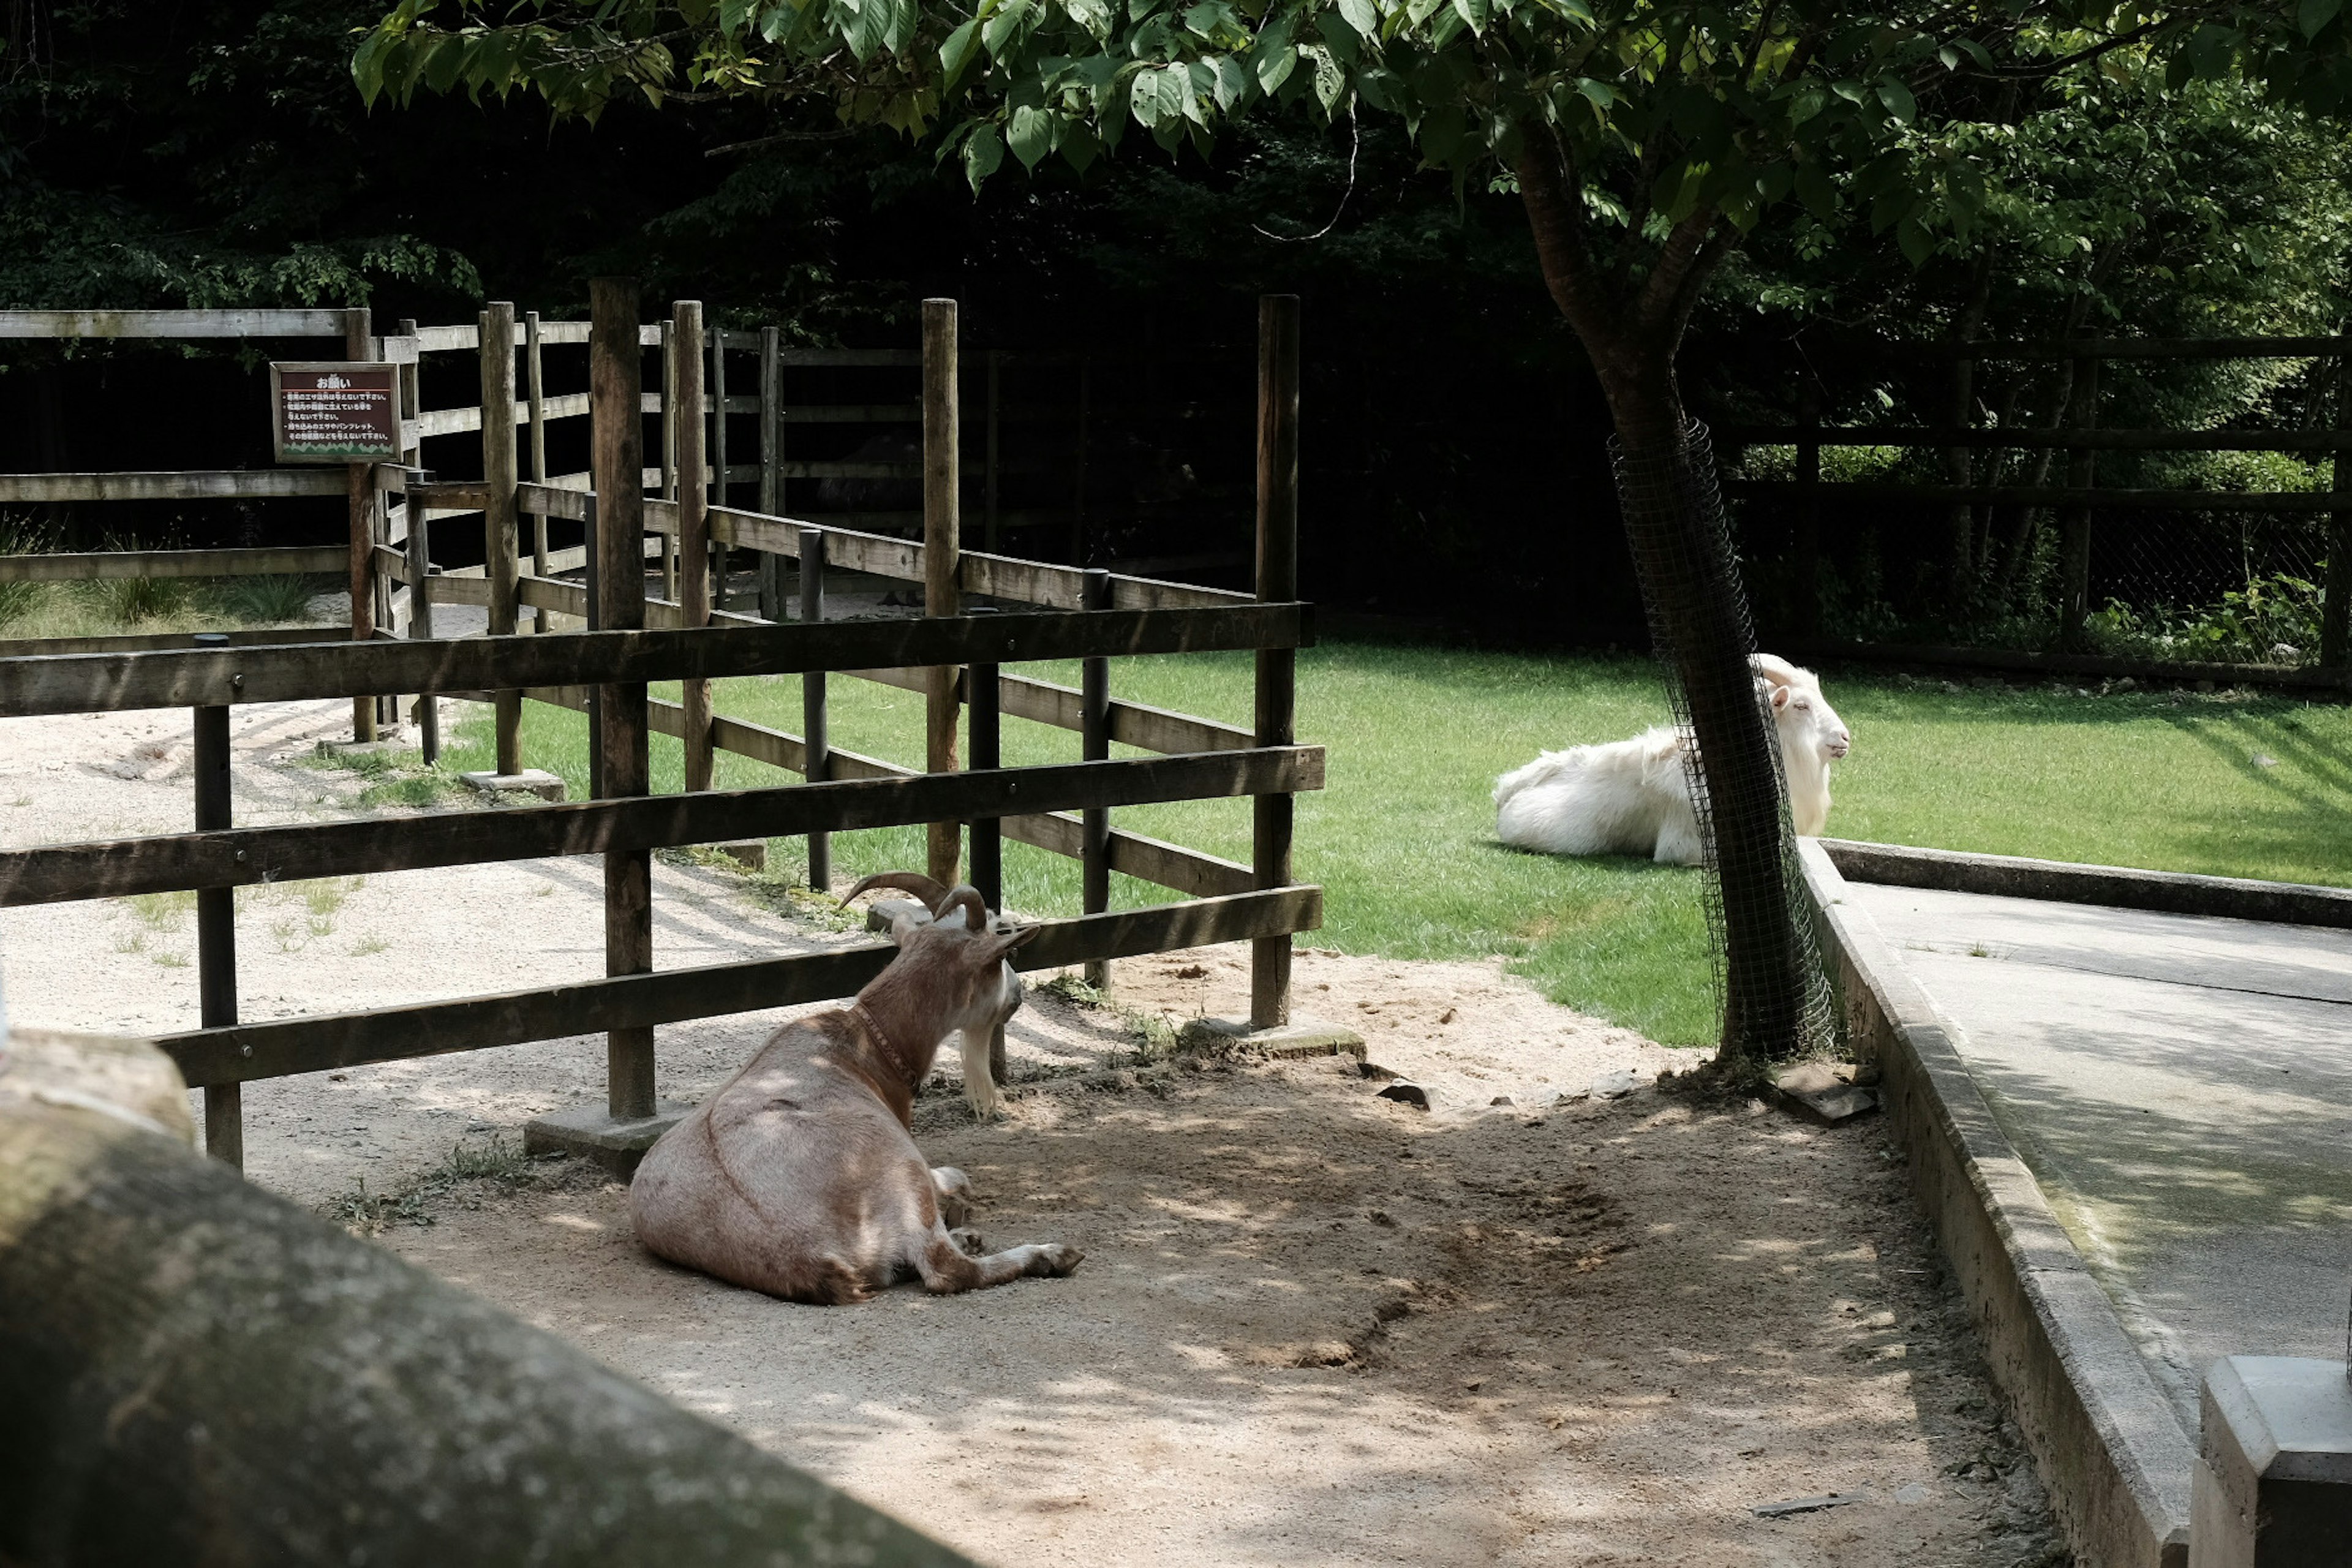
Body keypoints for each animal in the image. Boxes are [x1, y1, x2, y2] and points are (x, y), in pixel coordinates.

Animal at [635, 879, 1091, 1306]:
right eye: (1001, 954)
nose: (1018, 995)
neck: (866, 1044)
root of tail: (807, 1256)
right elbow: (958, 1177)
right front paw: (961, 1211)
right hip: (897, 1162)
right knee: (946, 1269)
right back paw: (1048, 1253)